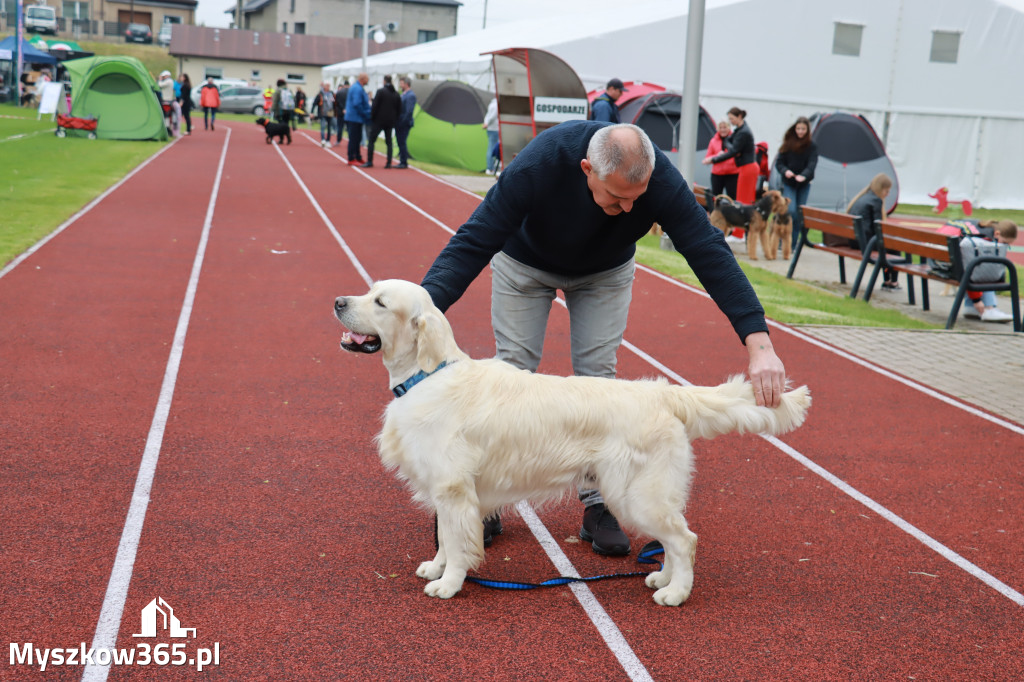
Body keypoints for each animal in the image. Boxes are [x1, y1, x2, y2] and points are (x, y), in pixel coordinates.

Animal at [331, 278, 811, 602]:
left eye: (380, 302)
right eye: (370, 291)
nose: (337, 301)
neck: (426, 374)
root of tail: (661, 392)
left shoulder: (452, 489)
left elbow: (456, 541)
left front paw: (449, 584)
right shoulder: (448, 491)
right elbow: (447, 541)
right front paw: (436, 568)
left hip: (634, 493)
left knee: (684, 539)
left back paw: (675, 593)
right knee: (675, 538)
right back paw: (661, 578)